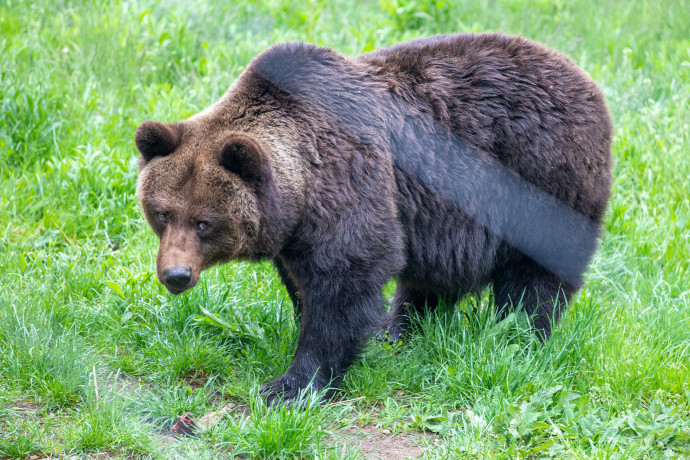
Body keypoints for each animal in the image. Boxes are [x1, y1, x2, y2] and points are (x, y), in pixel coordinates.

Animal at [134, 33, 608, 406]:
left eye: (205, 221)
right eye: (162, 213)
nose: (176, 274)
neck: (299, 191)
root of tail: (586, 81)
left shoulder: (348, 180)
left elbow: (345, 279)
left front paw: (291, 385)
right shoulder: (296, 231)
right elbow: (305, 285)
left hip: (540, 179)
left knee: (535, 277)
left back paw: (518, 337)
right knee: (430, 279)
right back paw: (400, 331)